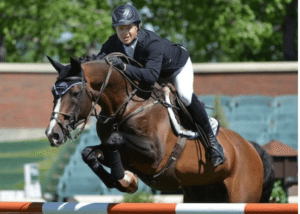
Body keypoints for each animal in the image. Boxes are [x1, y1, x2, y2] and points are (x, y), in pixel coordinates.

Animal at [45, 53, 274, 202]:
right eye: (53, 93)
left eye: (75, 94)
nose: (52, 134)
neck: (126, 107)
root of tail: (252, 148)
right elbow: (89, 152)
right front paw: (121, 181)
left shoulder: (155, 156)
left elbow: (114, 140)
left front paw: (125, 179)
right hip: (200, 193)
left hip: (242, 195)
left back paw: (217, 152)